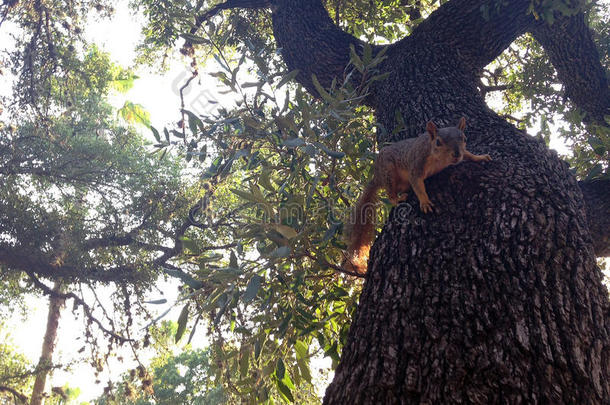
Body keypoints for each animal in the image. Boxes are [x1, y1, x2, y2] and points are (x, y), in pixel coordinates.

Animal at [342, 117, 490, 274]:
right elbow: (418, 186)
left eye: (464, 139)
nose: (456, 154)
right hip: (388, 172)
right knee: (390, 194)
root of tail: (377, 177)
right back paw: (398, 199)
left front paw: (480, 157)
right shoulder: (417, 164)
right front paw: (425, 202)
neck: (440, 159)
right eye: (438, 142)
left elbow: (468, 154)